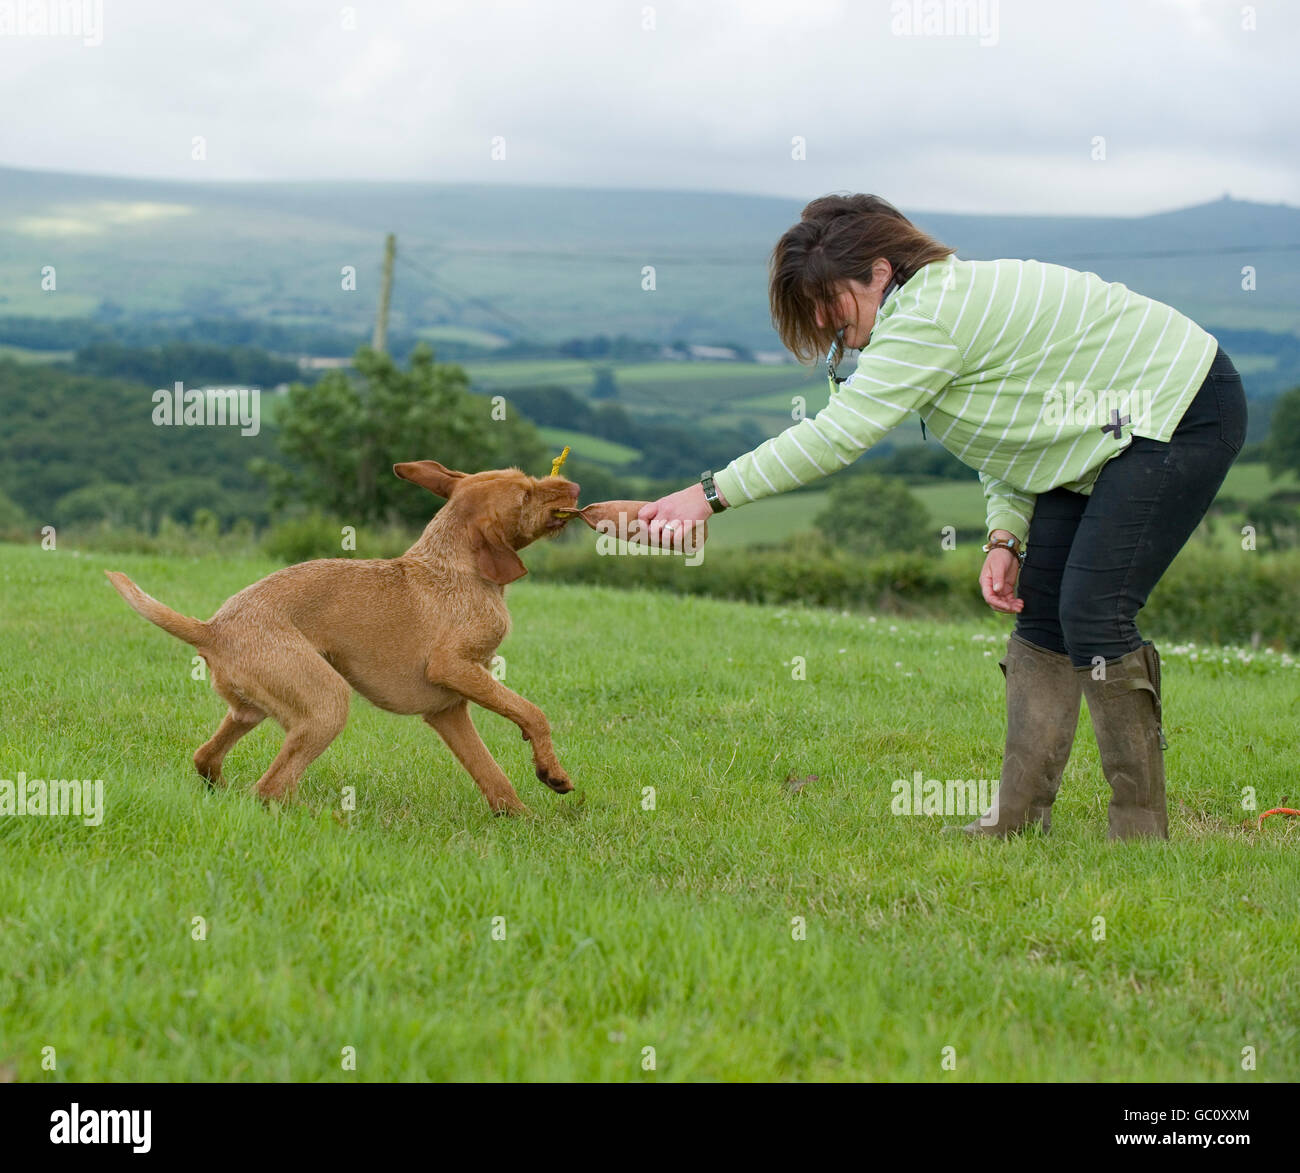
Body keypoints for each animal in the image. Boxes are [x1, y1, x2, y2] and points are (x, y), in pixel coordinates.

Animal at [102, 460, 644, 816]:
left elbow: (492, 775)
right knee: (270, 789)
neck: (456, 564)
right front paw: (551, 772)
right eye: (525, 496)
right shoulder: (455, 669)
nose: (573, 484)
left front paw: (522, 820)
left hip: (249, 711)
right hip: (326, 704)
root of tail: (212, 627)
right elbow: (533, 713)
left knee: (207, 758)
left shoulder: (449, 709)